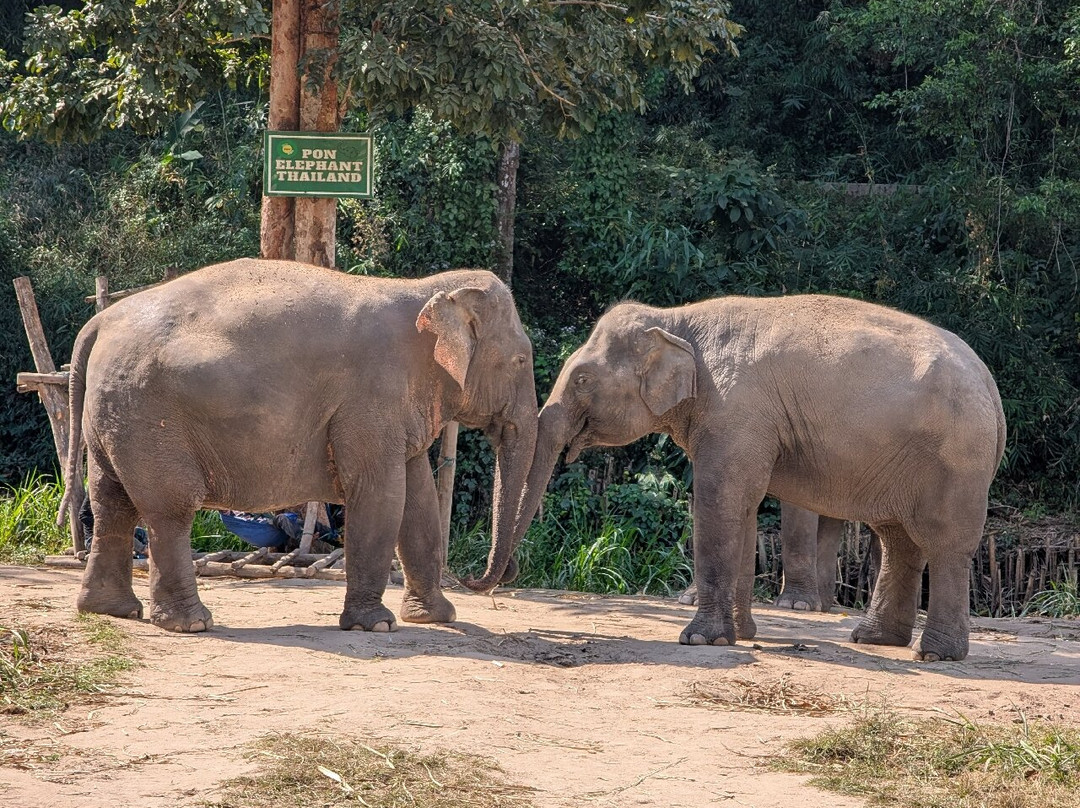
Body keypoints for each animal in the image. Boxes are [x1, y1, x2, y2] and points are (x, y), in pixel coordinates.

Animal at [57, 258, 537, 634]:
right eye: (520, 361)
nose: (477, 579)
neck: (425, 288)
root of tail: (99, 323)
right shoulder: (371, 399)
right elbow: (380, 496)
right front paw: (376, 625)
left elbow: (418, 503)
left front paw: (436, 617)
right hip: (148, 416)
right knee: (169, 507)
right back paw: (190, 623)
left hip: (114, 417)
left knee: (112, 502)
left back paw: (110, 610)